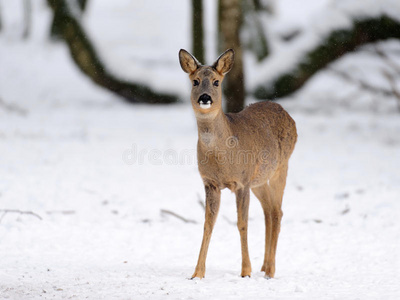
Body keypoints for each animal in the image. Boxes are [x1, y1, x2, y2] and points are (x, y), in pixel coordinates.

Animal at [179, 47, 296, 278]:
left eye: (216, 82)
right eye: (195, 81)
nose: (204, 97)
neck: (223, 156)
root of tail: (287, 113)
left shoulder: (242, 182)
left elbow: (242, 223)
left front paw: (246, 271)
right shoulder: (210, 183)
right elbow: (208, 224)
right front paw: (197, 273)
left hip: (281, 167)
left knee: (277, 211)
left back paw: (270, 270)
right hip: (259, 179)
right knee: (268, 210)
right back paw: (264, 266)